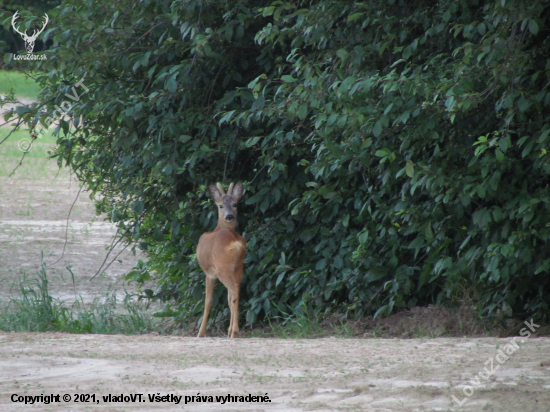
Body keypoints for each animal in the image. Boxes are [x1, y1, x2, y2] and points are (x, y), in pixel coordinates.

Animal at [195, 182, 245, 336]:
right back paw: (232, 331)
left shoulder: (209, 273)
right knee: (235, 293)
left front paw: (200, 333)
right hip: (238, 268)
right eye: (221, 205)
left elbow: (208, 301)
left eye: (235, 204)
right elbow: (228, 300)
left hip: (223, 268)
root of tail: (235, 242)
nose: (229, 216)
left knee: (234, 289)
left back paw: (235, 330)